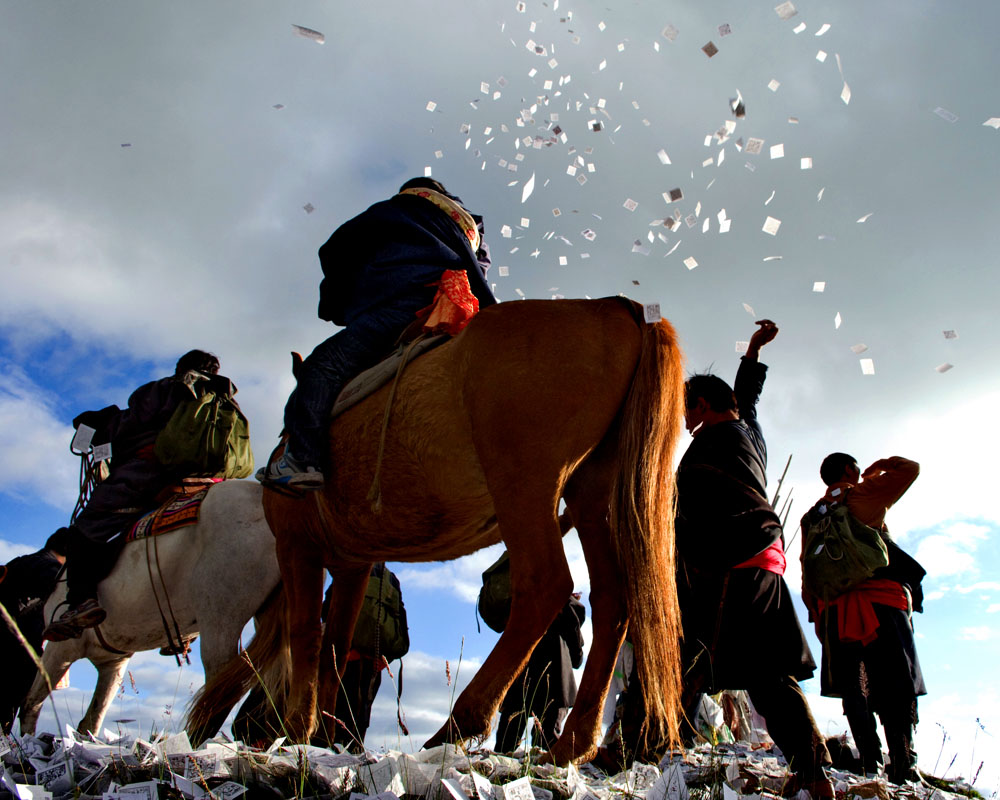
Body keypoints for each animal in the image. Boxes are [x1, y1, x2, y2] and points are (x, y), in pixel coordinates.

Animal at [19, 476, 288, 744]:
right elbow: (90, 721)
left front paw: (26, 744)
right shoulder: (113, 662)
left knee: (219, 693)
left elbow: (32, 704)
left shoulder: (60, 648)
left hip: (220, 615)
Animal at [262, 296, 684, 764]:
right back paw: (573, 742)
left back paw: (460, 723)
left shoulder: (295, 547)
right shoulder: (353, 565)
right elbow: (335, 644)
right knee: (612, 598)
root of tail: (618, 306)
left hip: (525, 485)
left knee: (544, 585)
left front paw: (295, 730)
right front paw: (322, 735)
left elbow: (306, 635)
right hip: (589, 493)